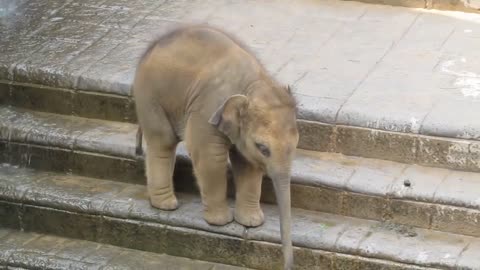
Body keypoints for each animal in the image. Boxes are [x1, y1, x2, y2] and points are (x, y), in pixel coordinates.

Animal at [131, 24, 296, 268]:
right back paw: (166, 205)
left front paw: (251, 222)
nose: (286, 265)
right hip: (150, 94)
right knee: (163, 140)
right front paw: (221, 222)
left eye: (294, 148)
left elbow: (247, 163)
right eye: (263, 148)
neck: (253, 84)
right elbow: (210, 157)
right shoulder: (206, 108)